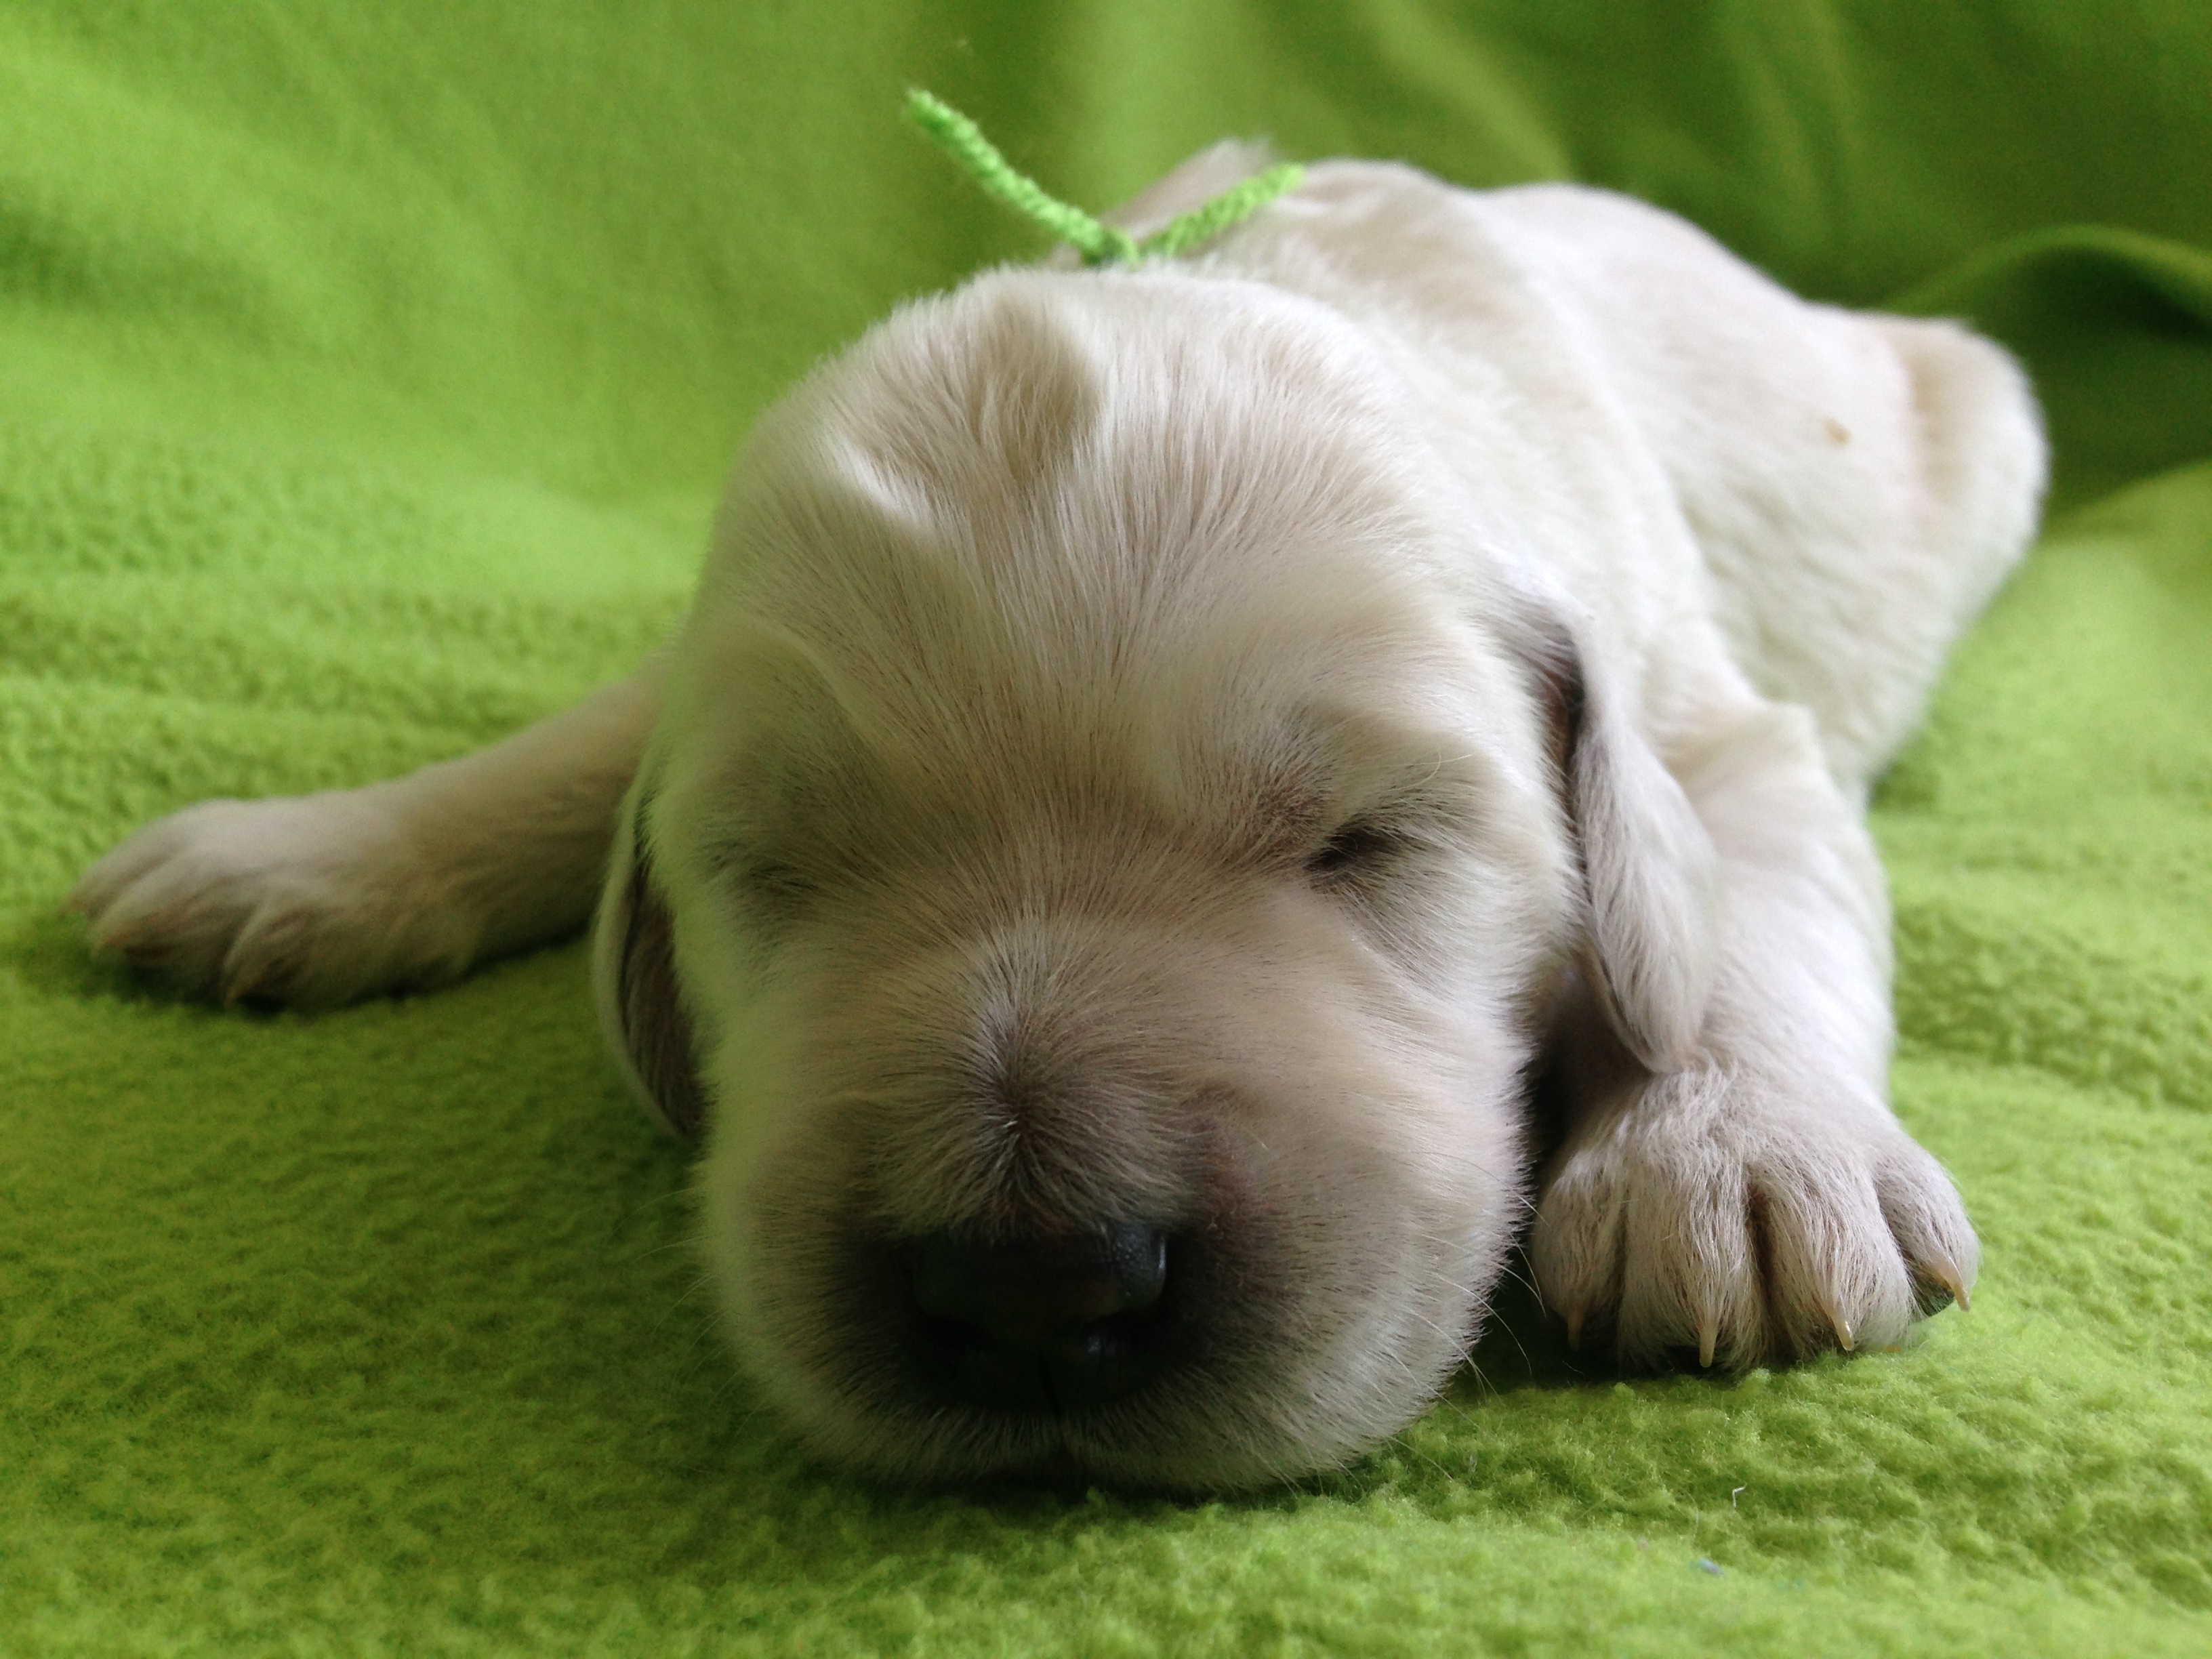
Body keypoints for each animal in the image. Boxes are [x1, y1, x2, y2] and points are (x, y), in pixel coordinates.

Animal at [69, 145, 2044, 1491]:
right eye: (764, 872)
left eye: (1366, 839)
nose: (1031, 1284)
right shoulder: (698, 670)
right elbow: (590, 738)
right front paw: (301, 856)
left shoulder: (1717, 725)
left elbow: (1733, 913)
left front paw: (1740, 1161)